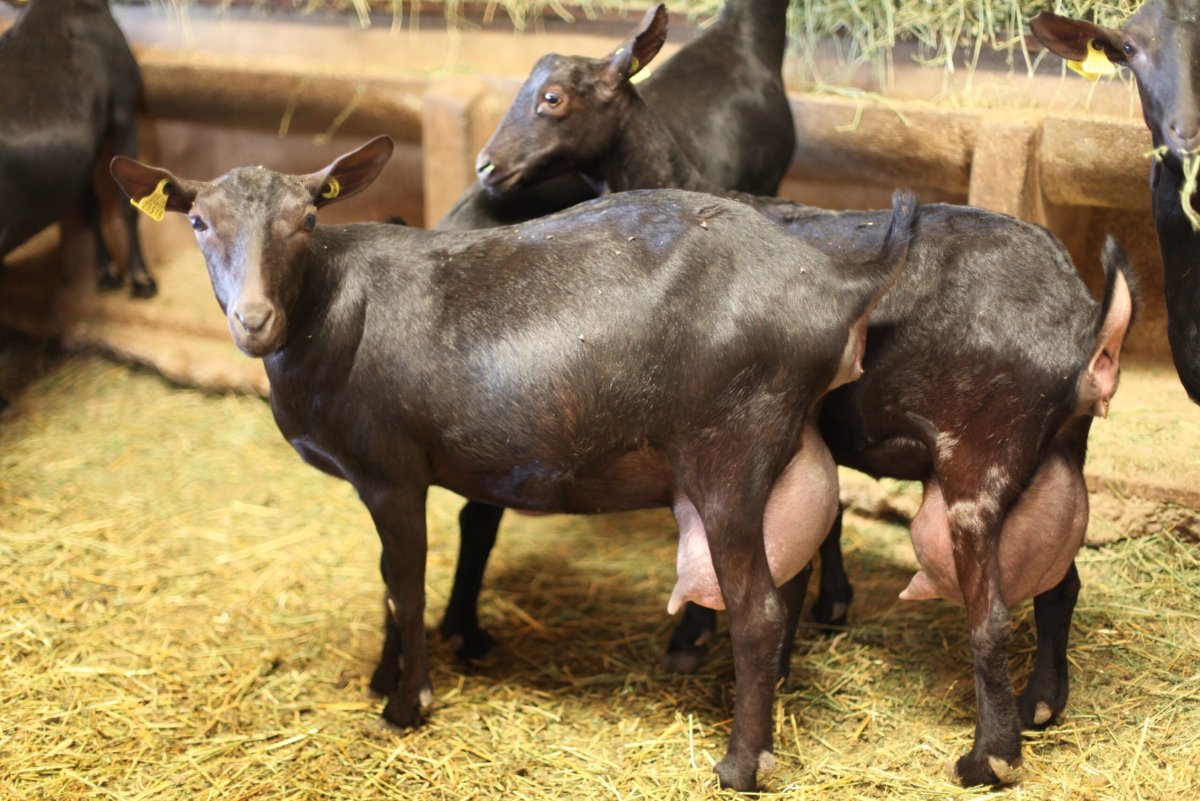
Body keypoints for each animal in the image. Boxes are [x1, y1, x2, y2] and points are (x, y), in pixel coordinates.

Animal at [0, 0, 155, 296]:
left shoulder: (82, 154)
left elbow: (91, 206)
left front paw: (106, 272)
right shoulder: (124, 114)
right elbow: (128, 205)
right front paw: (141, 277)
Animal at [110, 136, 916, 792]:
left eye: (307, 220)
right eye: (197, 221)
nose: (254, 320)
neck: (334, 310)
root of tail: (841, 284)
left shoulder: (391, 469)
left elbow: (406, 583)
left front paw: (406, 703)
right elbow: (386, 577)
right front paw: (382, 675)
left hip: (732, 445)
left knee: (757, 609)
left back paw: (740, 764)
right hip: (785, 447)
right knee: (795, 570)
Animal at [472, 4, 1139, 786]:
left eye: (554, 98)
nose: (488, 166)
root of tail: (1086, 327)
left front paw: (695, 640)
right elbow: (819, 533)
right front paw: (809, 624)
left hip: (981, 459)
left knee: (992, 611)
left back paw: (988, 756)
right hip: (1061, 456)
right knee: (1062, 583)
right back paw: (1042, 703)